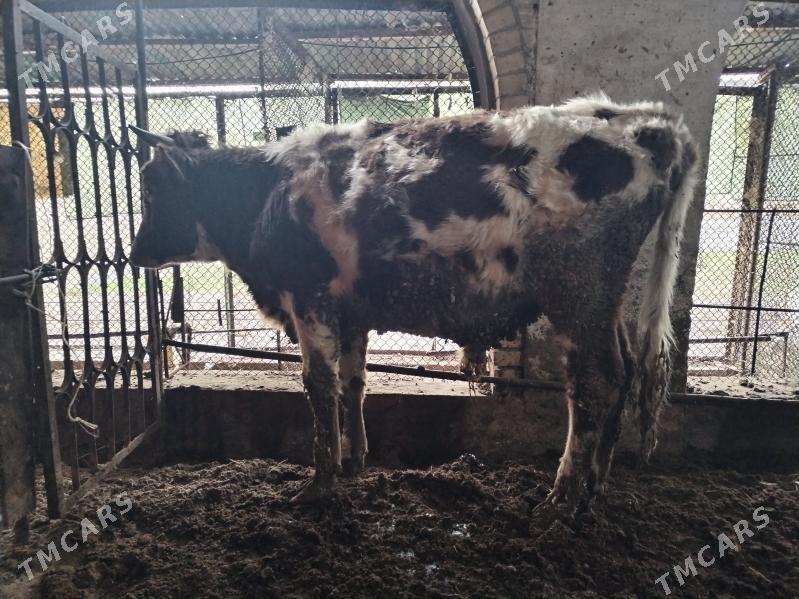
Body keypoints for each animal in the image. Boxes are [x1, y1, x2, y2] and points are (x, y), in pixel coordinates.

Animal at [128, 93, 698, 510]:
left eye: (153, 189)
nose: (134, 254)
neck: (268, 194)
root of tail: (640, 119)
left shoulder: (309, 300)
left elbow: (318, 388)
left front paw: (318, 485)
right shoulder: (350, 312)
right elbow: (354, 383)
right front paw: (355, 461)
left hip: (577, 293)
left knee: (594, 383)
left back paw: (562, 496)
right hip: (605, 298)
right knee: (625, 371)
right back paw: (597, 483)